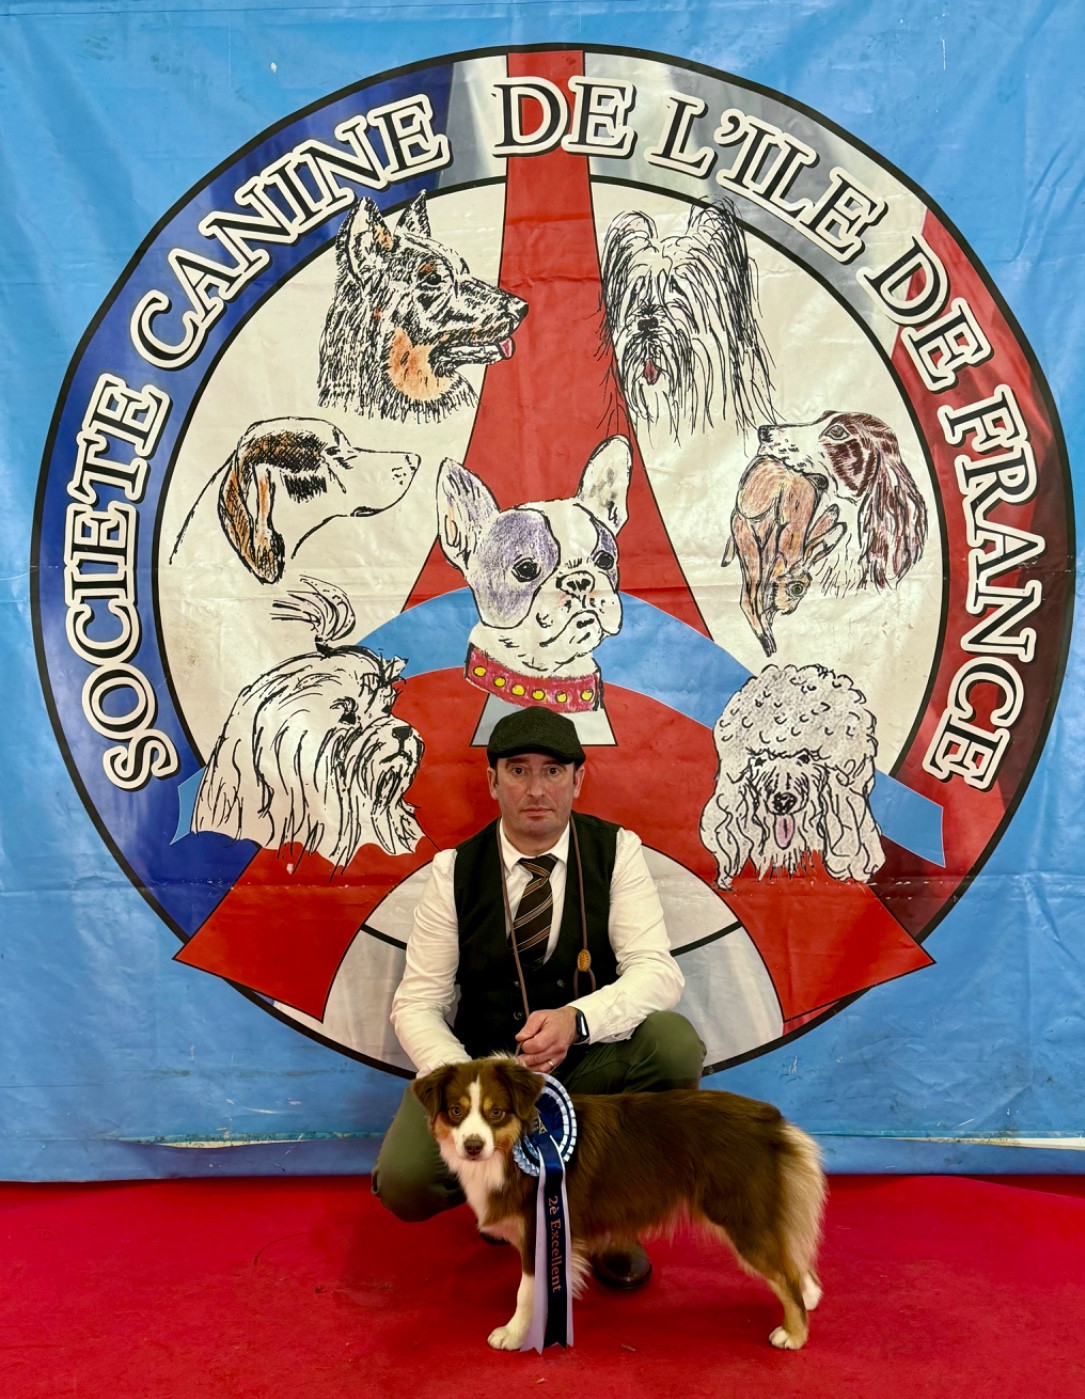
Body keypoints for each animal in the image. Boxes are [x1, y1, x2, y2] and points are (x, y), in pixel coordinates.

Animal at [412, 1055, 825, 1352]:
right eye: (456, 1111)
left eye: (496, 1112)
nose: (472, 1146)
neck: (518, 1146)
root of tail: (768, 1120)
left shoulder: (538, 1230)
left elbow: (525, 1291)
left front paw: (514, 1334)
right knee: (792, 1264)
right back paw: (809, 1298)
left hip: (741, 1216)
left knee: (785, 1275)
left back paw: (793, 1334)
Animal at [722, 454, 846, 656]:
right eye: (797, 589)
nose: (789, 610)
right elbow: (752, 598)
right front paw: (767, 639)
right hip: (747, 540)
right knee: (747, 596)